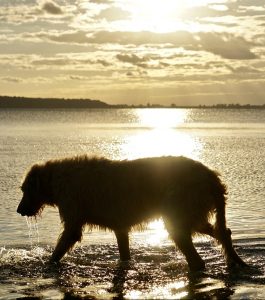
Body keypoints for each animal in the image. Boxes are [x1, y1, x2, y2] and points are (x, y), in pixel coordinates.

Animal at [17, 156, 245, 270]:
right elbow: (123, 246)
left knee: (186, 238)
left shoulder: (74, 204)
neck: (55, 182)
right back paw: (235, 259)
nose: (19, 210)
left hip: (182, 201)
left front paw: (49, 261)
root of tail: (211, 177)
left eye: (24, 189)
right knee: (218, 230)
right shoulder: (118, 222)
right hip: (194, 206)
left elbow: (69, 235)